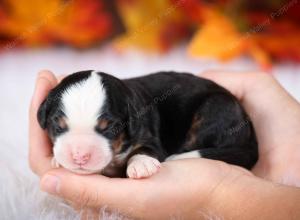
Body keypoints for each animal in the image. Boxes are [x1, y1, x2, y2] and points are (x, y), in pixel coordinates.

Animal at [37, 71, 258, 178]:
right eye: (58, 126)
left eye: (111, 128)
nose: (80, 156)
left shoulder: (149, 135)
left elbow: (145, 149)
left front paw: (142, 164)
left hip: (216, 108)